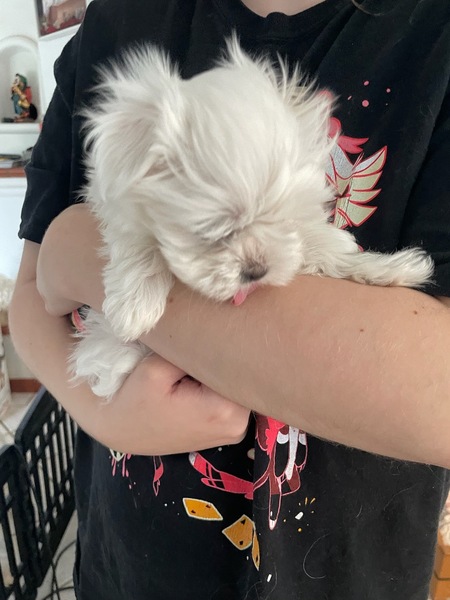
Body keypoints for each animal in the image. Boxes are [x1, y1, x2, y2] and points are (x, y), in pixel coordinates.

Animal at [71, 38, 433, 399]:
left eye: (285, 223)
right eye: (211, 231)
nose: (256, 271)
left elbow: (320, 250)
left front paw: (388, 268)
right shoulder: (113, 198)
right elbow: (137, 237)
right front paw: (135, 304)